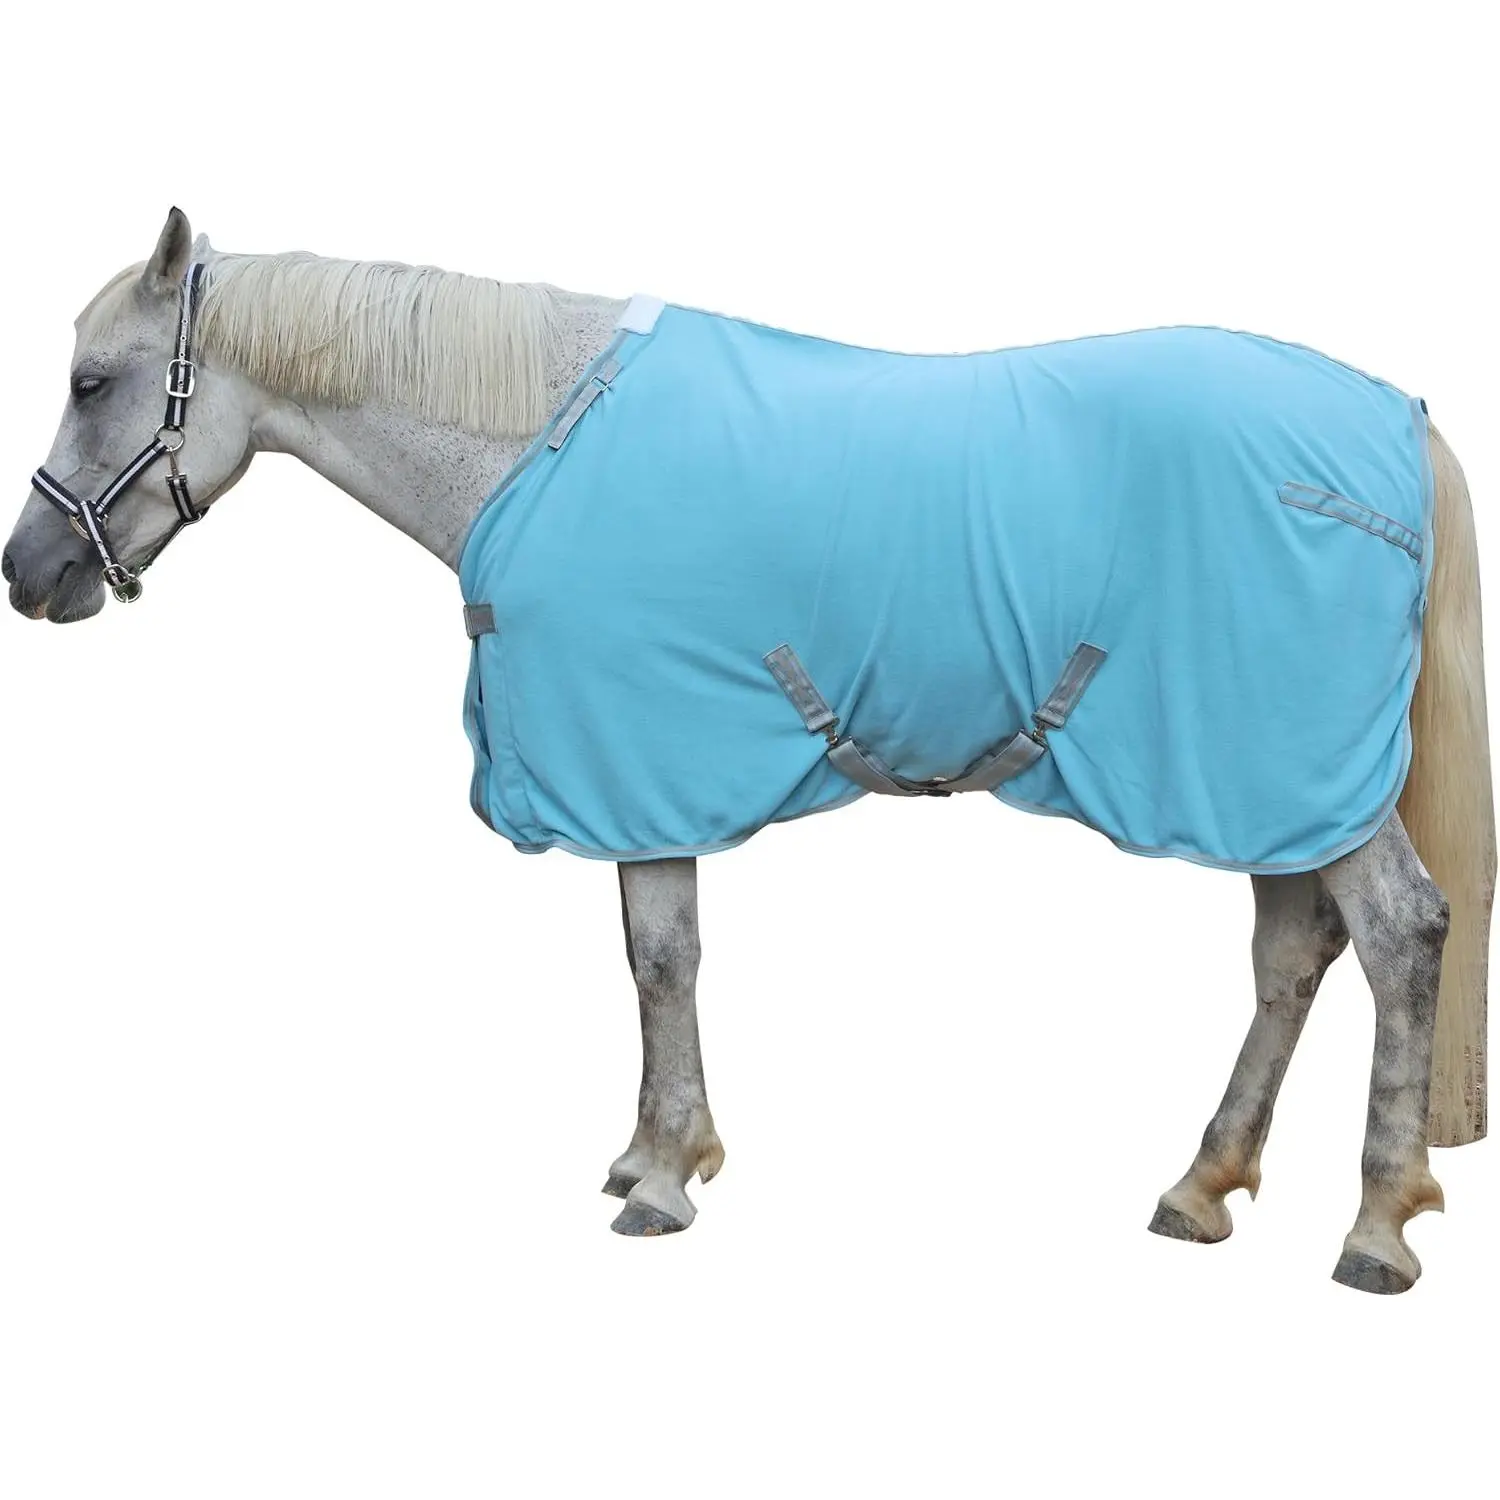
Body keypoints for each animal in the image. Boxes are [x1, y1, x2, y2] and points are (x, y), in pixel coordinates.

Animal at [6, 209, 1492, 1294]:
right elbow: (642, 957)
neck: (537, 441)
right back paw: (1201, 1187)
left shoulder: (643, 757)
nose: (28, 574)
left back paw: (1373, 1229)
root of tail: (1396, 418)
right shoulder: (639, 771)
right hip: (1272, 783)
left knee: (1403, 934)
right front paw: (648, 1153)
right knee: (1294, 955)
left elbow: (664, 959)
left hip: (1294, 772)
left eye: (91, 381)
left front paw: (663, 1178)